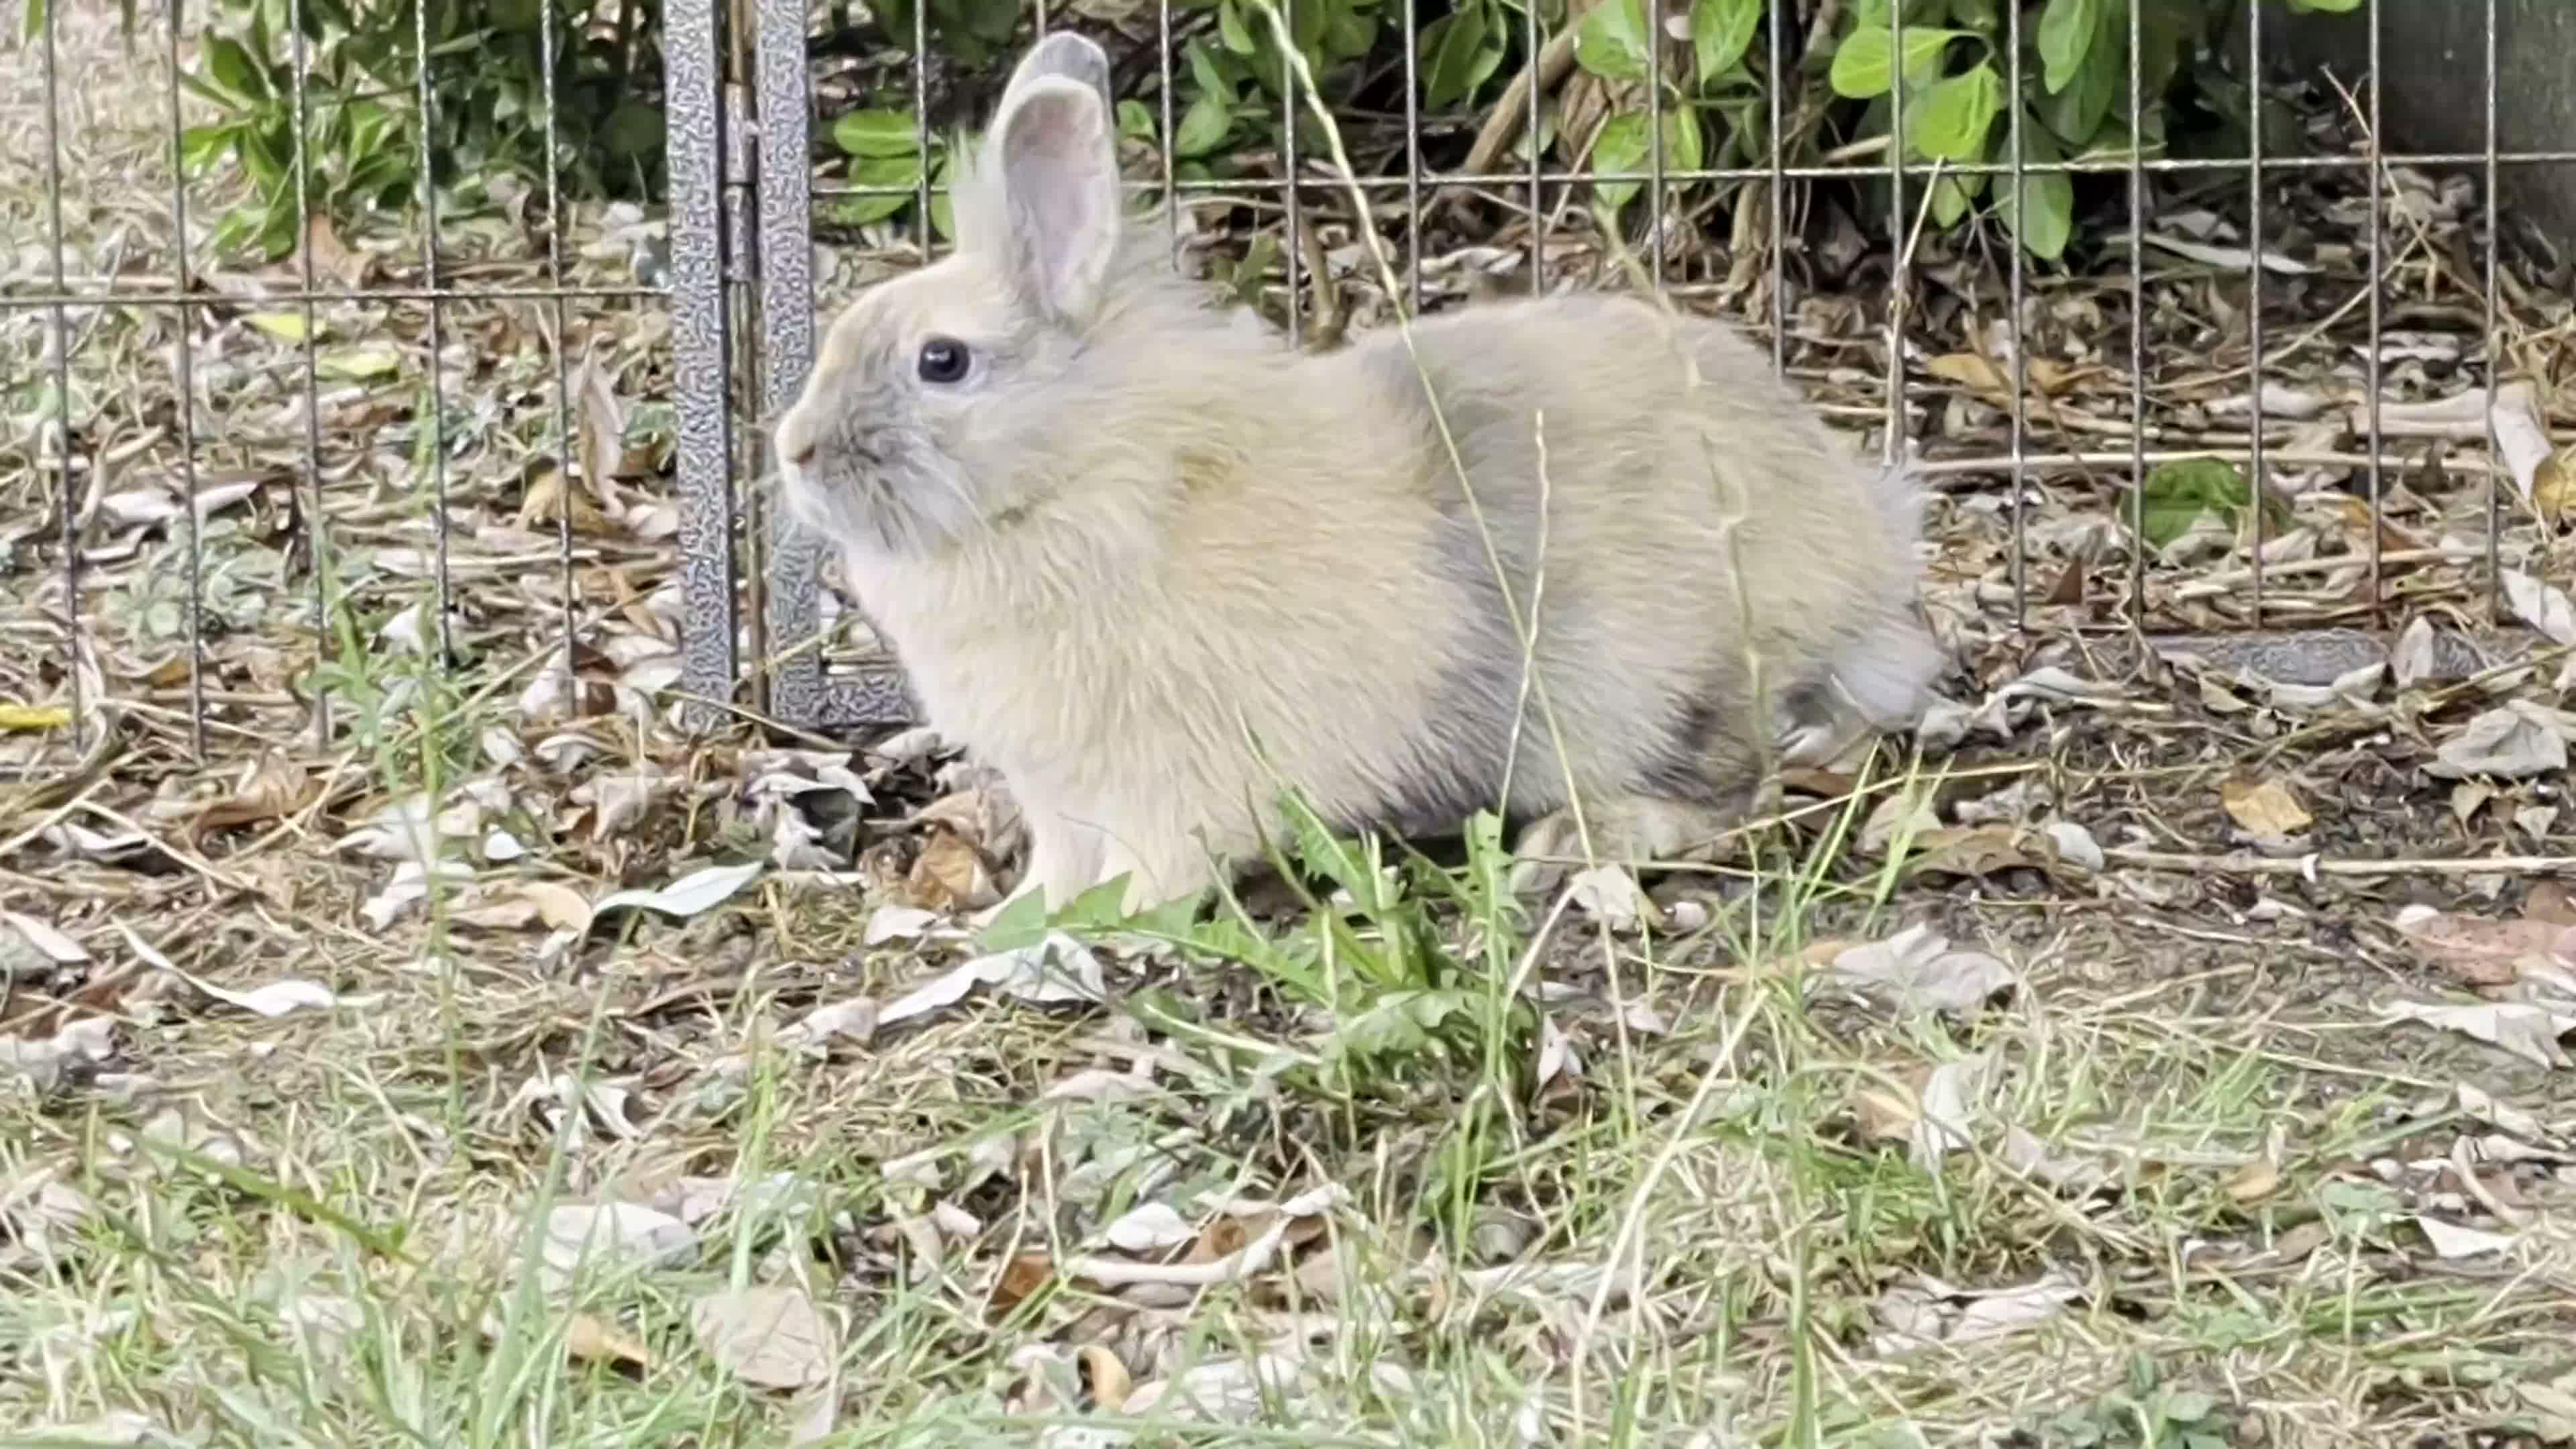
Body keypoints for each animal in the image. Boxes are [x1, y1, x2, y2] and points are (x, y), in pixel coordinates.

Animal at [772, 29, 1947, 920]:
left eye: (943, 362)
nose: (794, 452)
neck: (1079, 475)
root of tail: (1867, 556)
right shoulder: (1061, 794)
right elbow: (1062, 868)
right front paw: (1019, 924)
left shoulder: (1162, 780)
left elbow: (1158, 870)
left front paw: (1103, 927)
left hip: (1661, 684)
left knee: (1733, 787)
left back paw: (1578, 842)